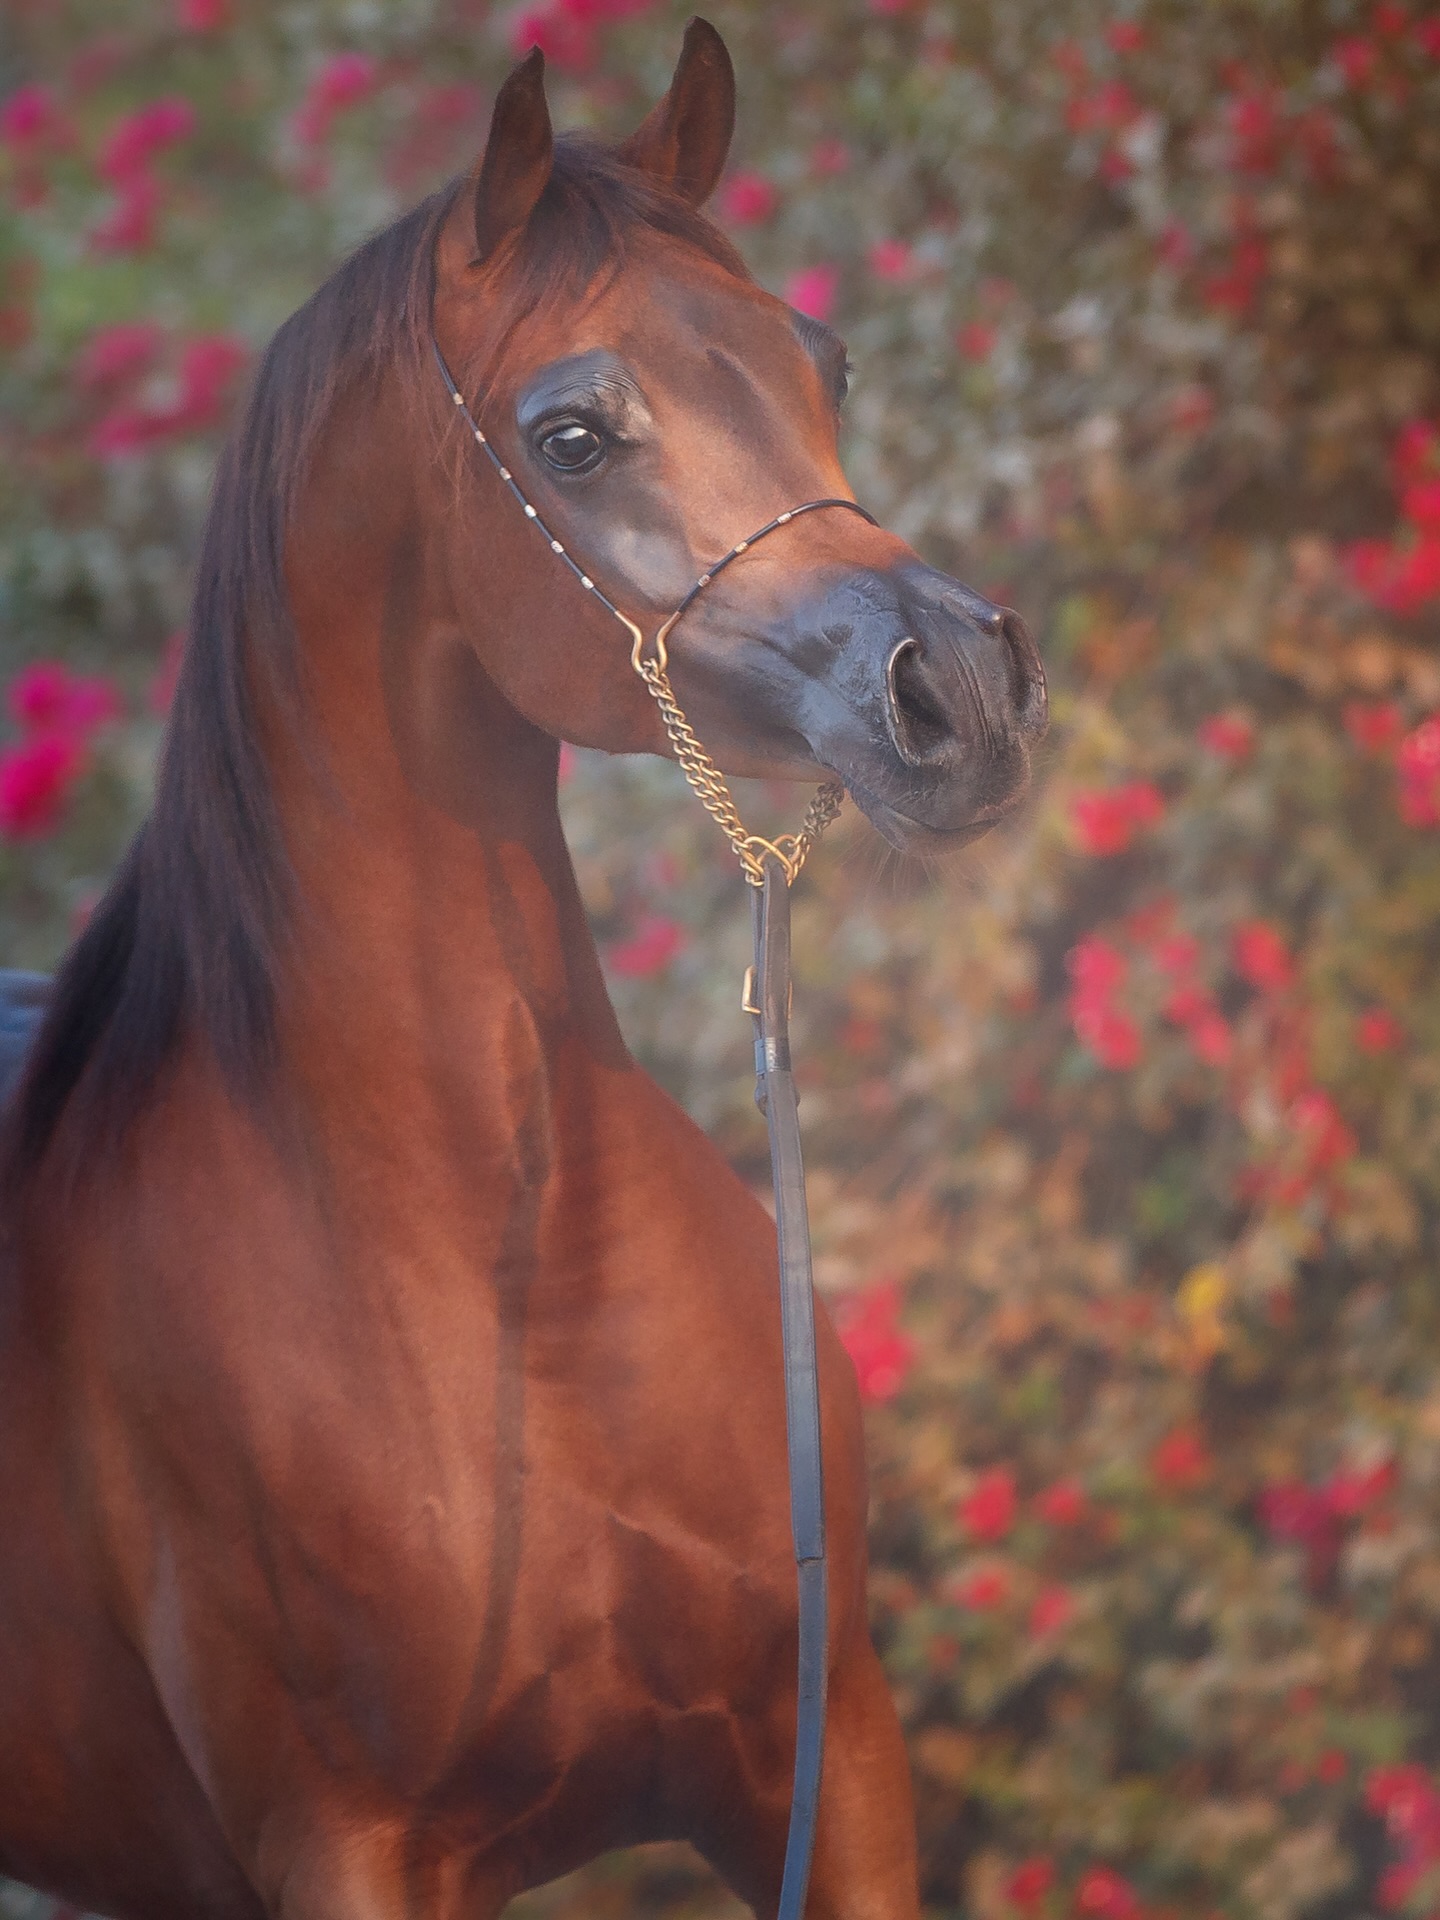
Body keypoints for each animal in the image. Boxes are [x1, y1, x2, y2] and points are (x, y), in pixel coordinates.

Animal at [0, 21, 1046, 1919]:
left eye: (826, 361)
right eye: (571, 436)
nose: (965, 688)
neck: (523, 1283)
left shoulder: (829, 1756)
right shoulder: (349, 1848)